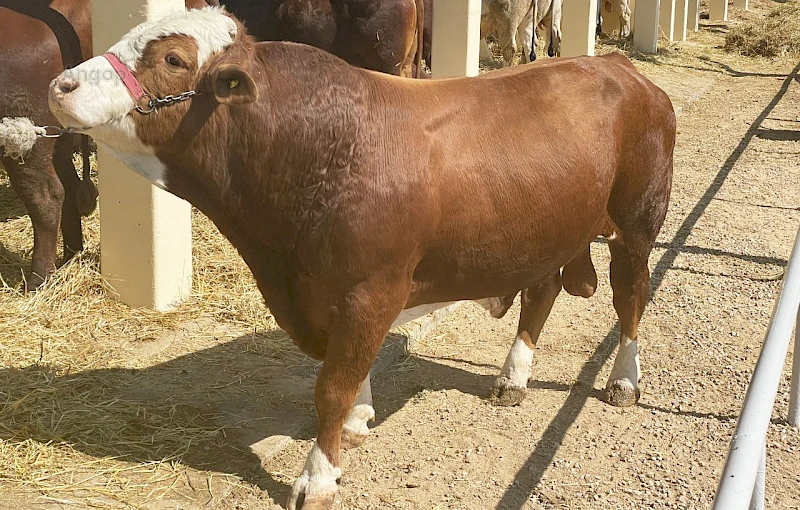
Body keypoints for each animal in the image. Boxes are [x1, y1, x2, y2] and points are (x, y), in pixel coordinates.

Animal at [48, 8, 676, 510]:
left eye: (173, 59)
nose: (61, 84)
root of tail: (617, 65)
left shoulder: (371, 289)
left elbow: (331, 384)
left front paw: (318, 477)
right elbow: (346, 372)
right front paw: (357, 421)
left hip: (637, 224)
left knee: (631, 297)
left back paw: (623, 380)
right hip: (546, 230)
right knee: (541, 292)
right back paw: (513, 376)